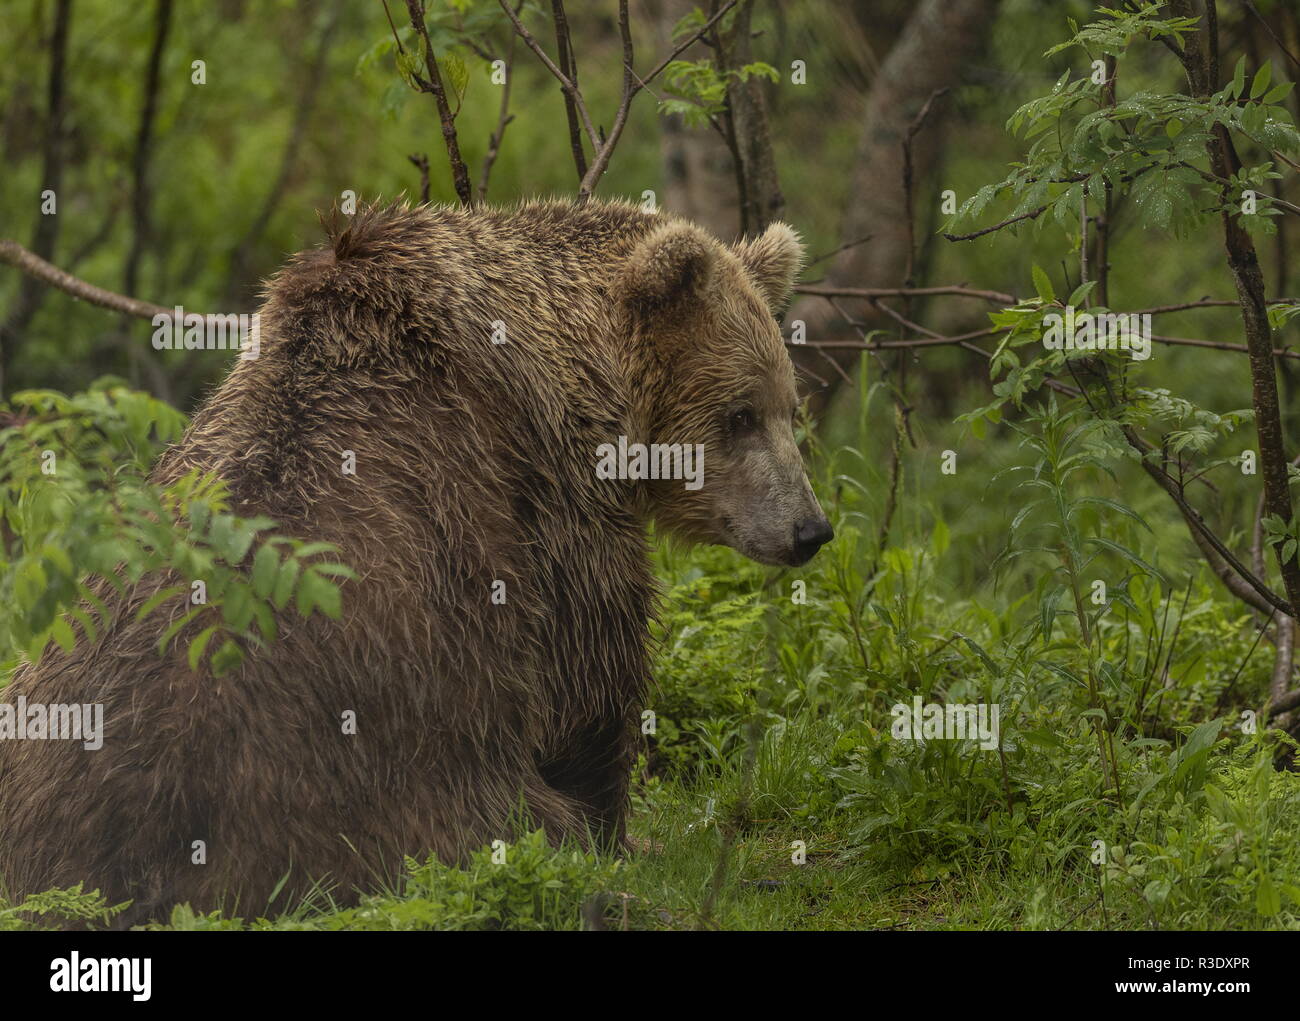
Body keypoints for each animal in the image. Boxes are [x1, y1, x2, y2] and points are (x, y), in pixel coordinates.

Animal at [0, 198, 832, 926]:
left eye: (790, 407)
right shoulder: (548, 499)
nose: (810, 528)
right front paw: (628, 833)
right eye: (739, 414)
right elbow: (589, 671)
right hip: (350, 772)